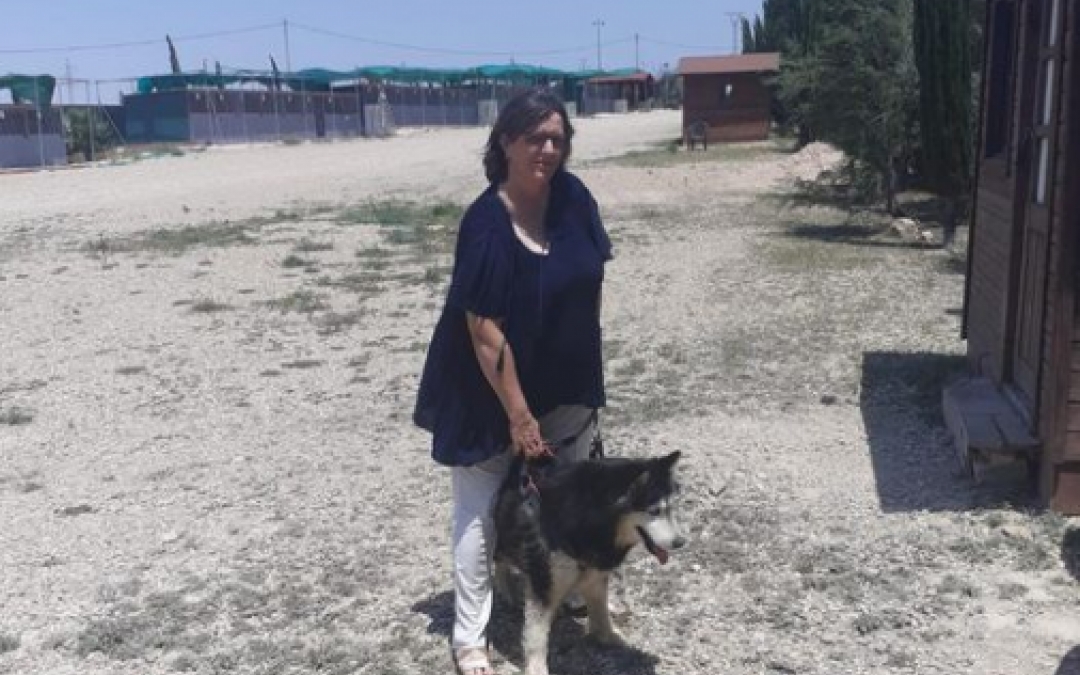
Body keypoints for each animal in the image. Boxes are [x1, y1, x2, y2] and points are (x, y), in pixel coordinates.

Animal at [492, 451, 685, 675]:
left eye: (671, 508)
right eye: (654, 511)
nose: (681, 542)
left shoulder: (595, 574)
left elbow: (600, 611)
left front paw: (609, 637)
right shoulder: (544, 577)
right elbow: (536, 632)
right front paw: (537, 667)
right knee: (499, 559)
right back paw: (506, 590)